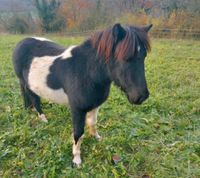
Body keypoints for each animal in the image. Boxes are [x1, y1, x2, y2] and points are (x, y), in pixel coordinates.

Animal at [12, 23, 152, 167]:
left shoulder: (95, 105)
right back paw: (43, 118)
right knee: (35, 100)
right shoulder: (77, 109)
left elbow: (92, 122)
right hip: (26, 83)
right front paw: (76, 159)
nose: (141, 96)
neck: (86, 71)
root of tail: (21, 42)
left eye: (144, 56)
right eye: (125, 57)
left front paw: (97, 137)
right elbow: (78, 133)